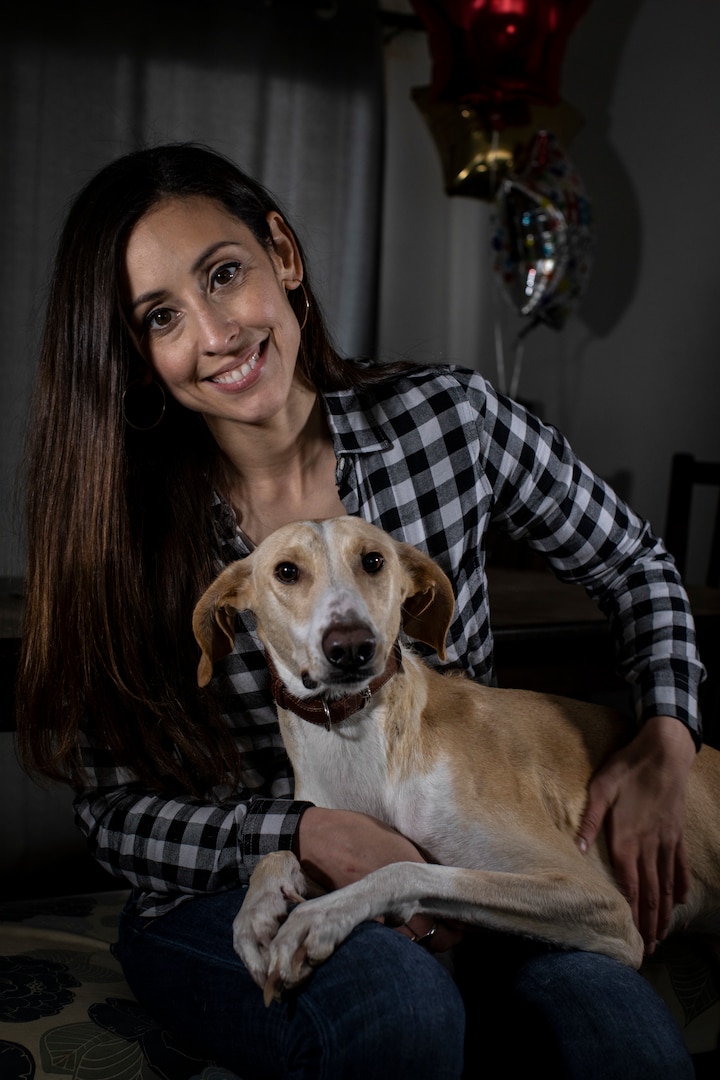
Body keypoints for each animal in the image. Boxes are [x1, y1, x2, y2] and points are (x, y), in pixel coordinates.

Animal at [191, 514, 720, 1002]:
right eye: (286, 571)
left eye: (373, 561)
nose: (351, 647)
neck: (355, 736)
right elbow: (277, 850)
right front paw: (256, 913)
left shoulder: (599, 899)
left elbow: (408, 868)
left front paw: (319, 916)